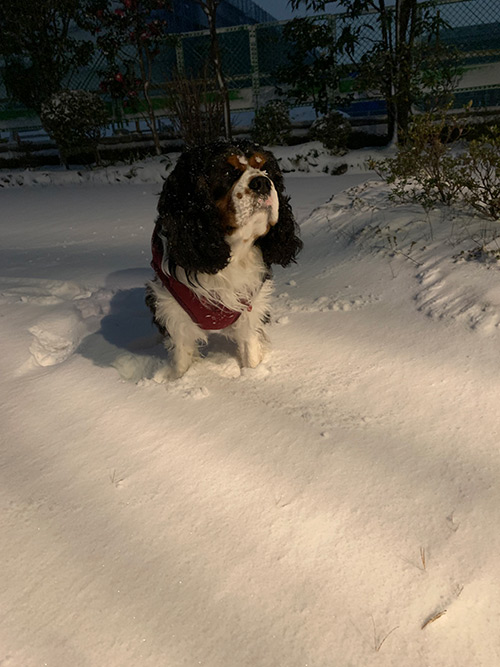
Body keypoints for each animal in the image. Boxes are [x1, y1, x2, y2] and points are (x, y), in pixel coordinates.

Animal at [145, 138, 300, 378]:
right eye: (227, 172)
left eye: (266, 169)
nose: (262, 182)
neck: (233, 256)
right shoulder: (174, 314)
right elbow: (182, 360)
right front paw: (179, 382)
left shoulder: (250, 312)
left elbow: (250, 352)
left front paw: (253, 376)